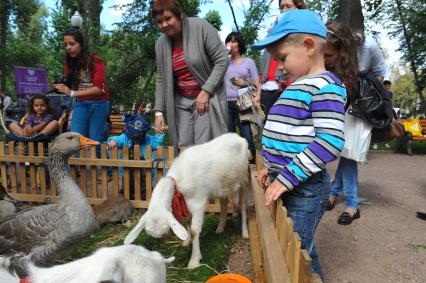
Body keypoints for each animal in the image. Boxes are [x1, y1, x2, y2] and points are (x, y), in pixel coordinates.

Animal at [123, 134, 250, 270]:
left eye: (165, 230)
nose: (160, 248)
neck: (177, 180)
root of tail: (240, 138)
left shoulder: (198, 203)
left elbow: (194, 231)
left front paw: (194, 261)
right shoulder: (186, 203)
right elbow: (188, 223)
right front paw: (187, 242)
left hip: (244, 178)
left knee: (243, 206)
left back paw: (245, 233)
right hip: (223, 186)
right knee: (224, 202)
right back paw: (220, 228)